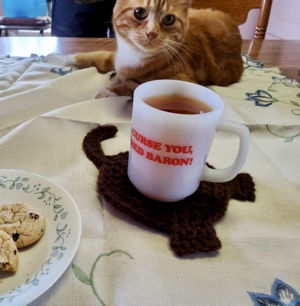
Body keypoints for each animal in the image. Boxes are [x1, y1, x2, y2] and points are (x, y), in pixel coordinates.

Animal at [65, 0, 244, 97]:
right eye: (139, 12)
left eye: (169, 19)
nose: (151, 33)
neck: (134, 54)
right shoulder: (116, 57)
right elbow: (102, 56)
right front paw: (72, 58)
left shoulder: (183, 84)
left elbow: (134, 86)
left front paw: (107, 91)